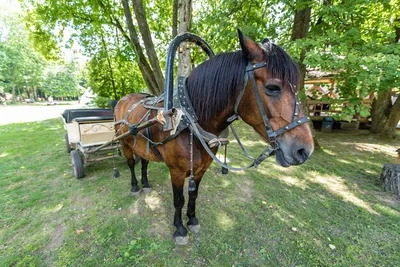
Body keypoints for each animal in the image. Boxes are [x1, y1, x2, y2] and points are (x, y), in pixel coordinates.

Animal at [114, 30, 314, 246]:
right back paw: (135, 186)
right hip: (124, 143)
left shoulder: (201, 168)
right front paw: (180, 228)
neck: (189, 120)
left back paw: (145, 184)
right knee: (132, 164)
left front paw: (192, 219)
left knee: (143, 162)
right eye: (273, 88)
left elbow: (194, 195)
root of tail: (123, 100)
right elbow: (179, 200)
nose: (304, 150)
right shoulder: (176, 171)